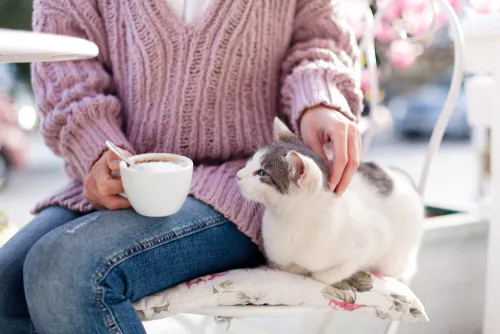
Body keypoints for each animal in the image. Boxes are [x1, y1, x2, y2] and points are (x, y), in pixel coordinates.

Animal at [236, 117, 424, 284]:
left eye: (261, 173)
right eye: (250, 161)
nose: (238, 175)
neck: (289, 221)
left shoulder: (375, 236)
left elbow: (332, 272)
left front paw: (320, 274)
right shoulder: (277, 256)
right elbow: (282, 264)